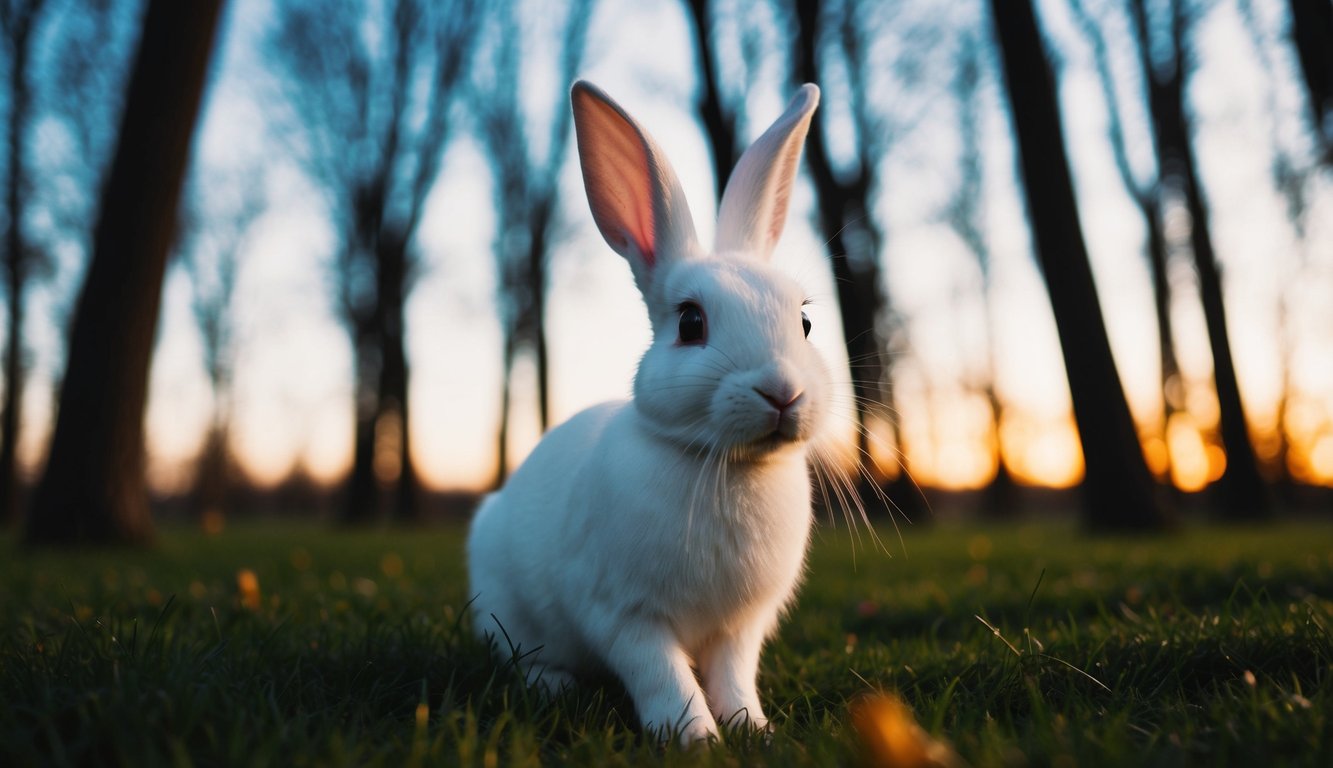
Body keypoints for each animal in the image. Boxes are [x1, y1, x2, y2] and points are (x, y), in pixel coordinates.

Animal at [466, 79, 821, 746]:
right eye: (691, 322)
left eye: (806, 322)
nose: (782, 392)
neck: (723, 464)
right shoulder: (624, 614)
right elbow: (662, 675)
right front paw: (695, 737)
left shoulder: (739, 629)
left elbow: (733, 676)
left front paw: (751, 728)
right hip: (506, 607)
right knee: (518, 656)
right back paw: (555, 686)